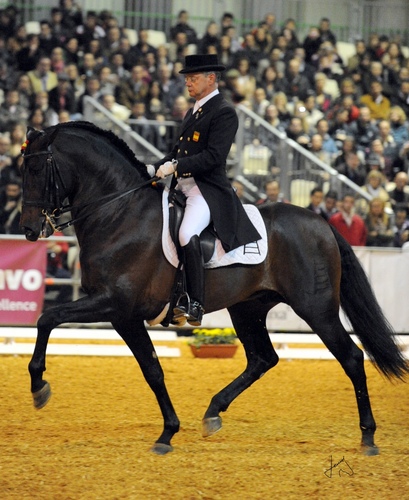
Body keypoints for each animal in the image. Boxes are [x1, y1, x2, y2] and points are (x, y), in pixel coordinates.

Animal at [18, 122, 404, 458]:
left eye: (36, 168)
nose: (28, 230)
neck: (119, 213)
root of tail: (320, 222)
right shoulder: (122, 316)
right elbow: (152, 369)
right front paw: (168, 433)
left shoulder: (114, 304)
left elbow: (47, 317)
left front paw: (39, 387)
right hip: (248, 308)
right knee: (263, 358)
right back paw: (213, 412)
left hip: (316, 309)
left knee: (351, 358)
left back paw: (368, 437)